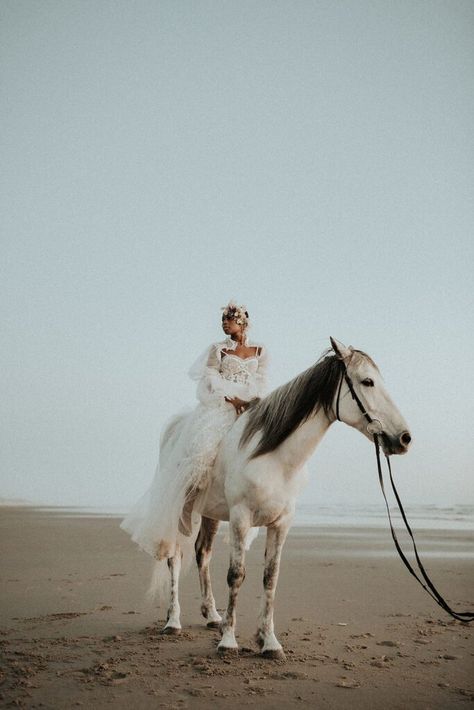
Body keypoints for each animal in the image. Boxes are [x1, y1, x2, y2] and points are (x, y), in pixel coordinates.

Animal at [156, 340, 412, 660]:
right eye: (367, 381)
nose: (404, 438)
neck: (274, 458)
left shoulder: (281, 523)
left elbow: (270, 577)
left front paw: (269, 642)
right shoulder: (240, 518)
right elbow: (236, 575)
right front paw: (228, 641)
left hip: (210, 513)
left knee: (203, 553)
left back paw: (212, 615)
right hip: (181, 510)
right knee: (174, 557)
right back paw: (173, 621)